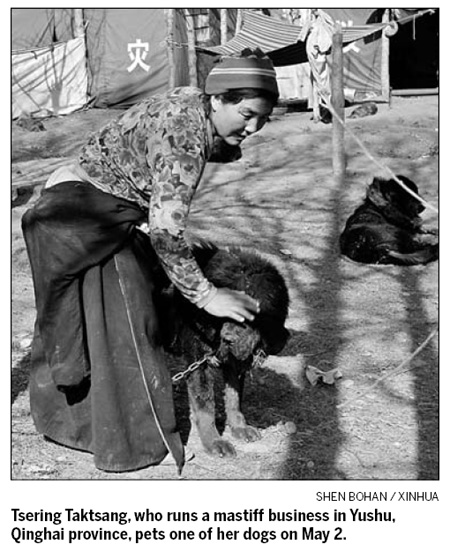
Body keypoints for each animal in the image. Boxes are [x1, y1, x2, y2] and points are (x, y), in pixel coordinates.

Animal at [163, 243, 290, 458]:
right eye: (228, 314)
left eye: (249, 318)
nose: (228, 339)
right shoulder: (198, 359)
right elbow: (206, 404)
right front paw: (214, 441)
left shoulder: (237, 362)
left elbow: (234, 397)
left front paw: (239, 427)